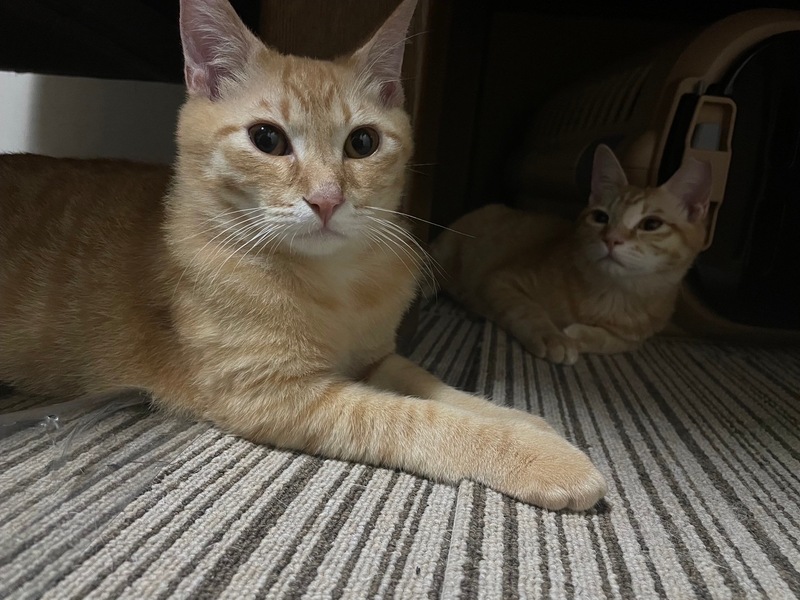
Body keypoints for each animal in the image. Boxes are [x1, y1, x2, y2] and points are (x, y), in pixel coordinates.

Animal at [0, 0, 606, 511]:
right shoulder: (277, 394)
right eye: (267, 139)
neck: (335, 285)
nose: (326, 199)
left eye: (363, 143)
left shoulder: (377, 358)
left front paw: (527, 423)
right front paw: (538, 455)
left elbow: (438, 387)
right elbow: (418, 418)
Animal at [431, 144, 711, 364]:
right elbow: (527, 309)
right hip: (445, 252)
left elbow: (613, 342)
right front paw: (553, 337)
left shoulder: (637, 337)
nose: (611, 239)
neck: (613, 295)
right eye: (601, 217)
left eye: (651, 224)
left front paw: (578, 335)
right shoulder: (500, 281)